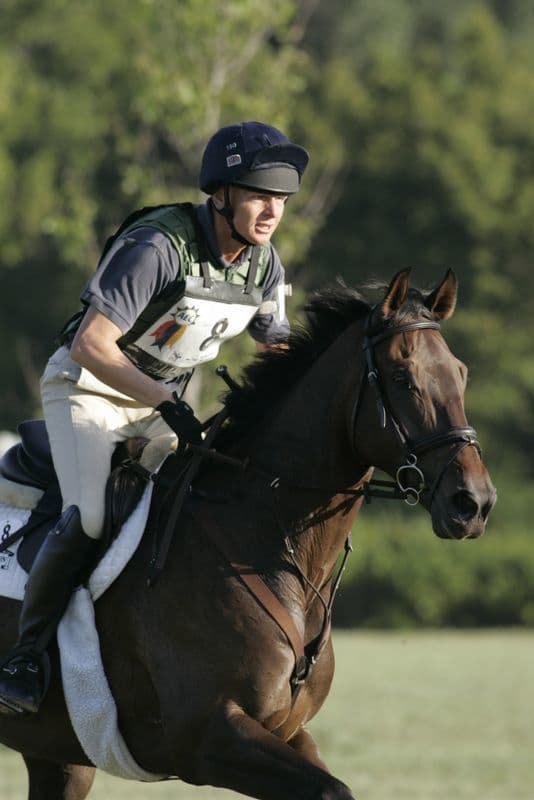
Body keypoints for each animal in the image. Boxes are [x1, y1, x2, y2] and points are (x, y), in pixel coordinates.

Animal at [0, 269, 496, 800]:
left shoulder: (289, 732)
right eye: (403, 379)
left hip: (59, 756)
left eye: (461, 373)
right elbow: (331, 788)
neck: (266, 538)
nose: (473, 503)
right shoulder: (209, 739)